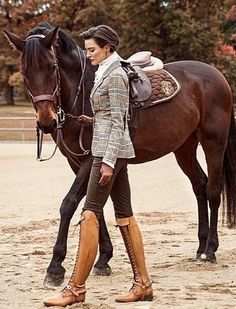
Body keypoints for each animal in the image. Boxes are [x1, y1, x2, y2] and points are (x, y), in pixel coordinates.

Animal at [3, 23, 236, 286]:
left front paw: (55, 267)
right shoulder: (78, 162)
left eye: (52, 66)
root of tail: (217, 75)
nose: (46, 122)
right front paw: (103, 259)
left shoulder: (91, 158)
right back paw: (200, 246)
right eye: (24, 71)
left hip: (213, 144)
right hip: (184, 147)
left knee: (213, 191)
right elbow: (96, 205)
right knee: (200, 186)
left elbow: (70, 203)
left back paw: (210, 250)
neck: (84, 93)